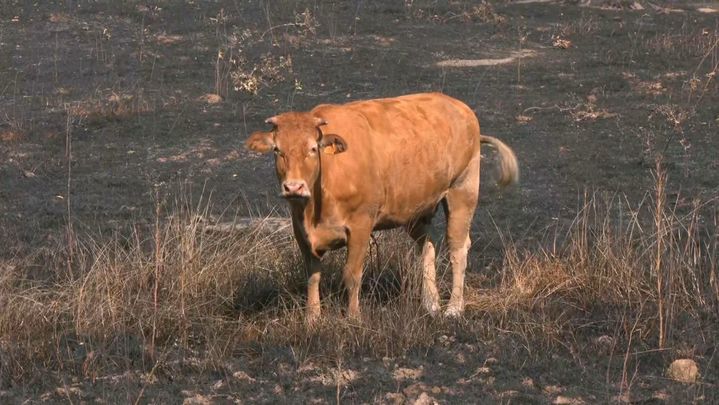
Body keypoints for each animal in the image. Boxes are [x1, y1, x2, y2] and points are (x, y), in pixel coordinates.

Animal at [245, 93, 518, 323]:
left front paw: (353, 317)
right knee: (428, 247)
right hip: (415, 210)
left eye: (313, 149)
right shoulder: (300, 230)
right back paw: (431, 305)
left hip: (463, 189)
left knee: (458, 248)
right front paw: (312, 319)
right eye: (277, 150)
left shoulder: (360, 224)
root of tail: (459, 107)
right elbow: (312, 276)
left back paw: (453, 308)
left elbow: (352, 275)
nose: (294, 187)